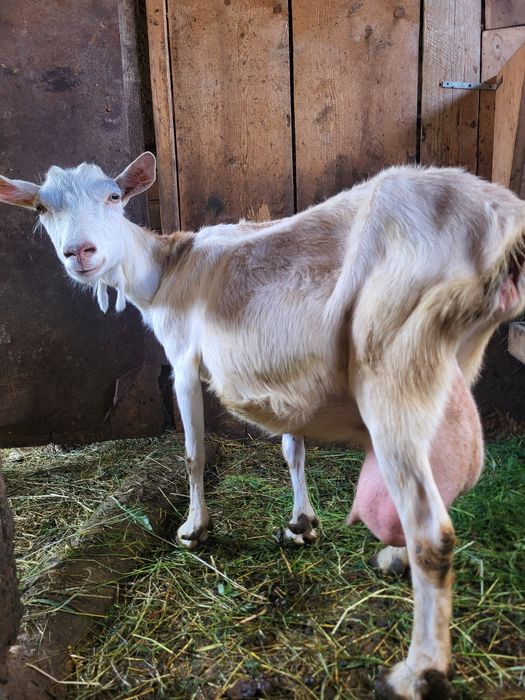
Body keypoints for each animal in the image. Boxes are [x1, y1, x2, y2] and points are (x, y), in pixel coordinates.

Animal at [1, 153, 524, 700]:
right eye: (41, 207)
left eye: (113, 196)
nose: (80, 252)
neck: (168, 270)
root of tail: (501, 223)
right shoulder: (284, 372)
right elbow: (293, 450)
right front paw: (301, 523)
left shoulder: (182, 359)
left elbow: (193, 453)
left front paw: (195, 529)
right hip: (459, 358)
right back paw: (395, 560)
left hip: (395, 356)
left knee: (432, 530)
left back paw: (419, 669)